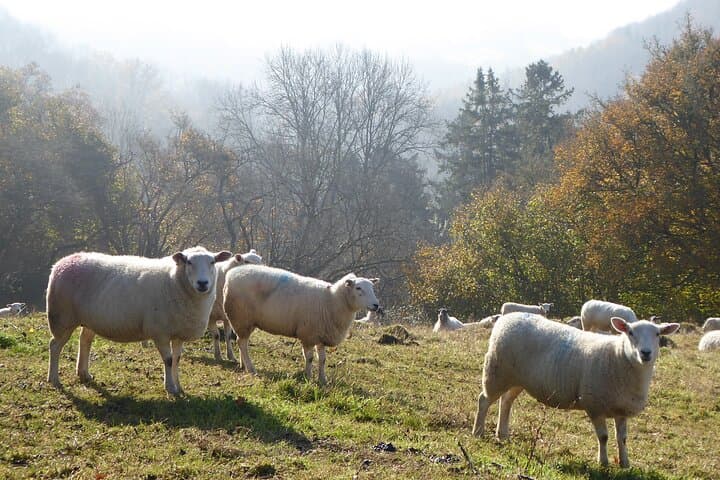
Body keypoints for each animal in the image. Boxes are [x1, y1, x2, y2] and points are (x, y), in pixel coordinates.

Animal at [46, 246, 232, 395]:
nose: (203, 283)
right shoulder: (160, 332)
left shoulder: (178, 333)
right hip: (61, 317)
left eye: (213, 262)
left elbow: (177, 360)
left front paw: (178, 386)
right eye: (189, 262)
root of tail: (60, 263)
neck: (174, 282)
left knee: (84, 341)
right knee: (54, 346)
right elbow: (168, 360)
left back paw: (84, 374)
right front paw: (170, 388)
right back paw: (54, 379)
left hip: (88, 320)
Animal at [223, 265, 380, 384]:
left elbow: (323, 360)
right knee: (242, 343)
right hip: (241, 317)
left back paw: (243, 365)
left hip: (245, 321)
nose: (376, 305)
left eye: (373, 287)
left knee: (242, 342)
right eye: (358, 288)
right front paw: (308, 377)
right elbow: (309, 358)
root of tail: (230, 275)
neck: (332, 300)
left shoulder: (321, 335)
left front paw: (323, 380)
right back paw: (251, 368)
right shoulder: (308, 334)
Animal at [472, 312, 679, 468]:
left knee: (506, 401)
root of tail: (506, 318)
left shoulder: (621, 409)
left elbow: (623, 438)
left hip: (517, 380)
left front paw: (624, 463)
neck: (618, 357)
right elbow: (603, 437)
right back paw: (478, 432)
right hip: (497, 371)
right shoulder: (595, 404)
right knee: (484, 400)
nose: (646, 353)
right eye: (630, 332)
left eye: (658, 334)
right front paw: (603, 462)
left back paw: (502, 434)